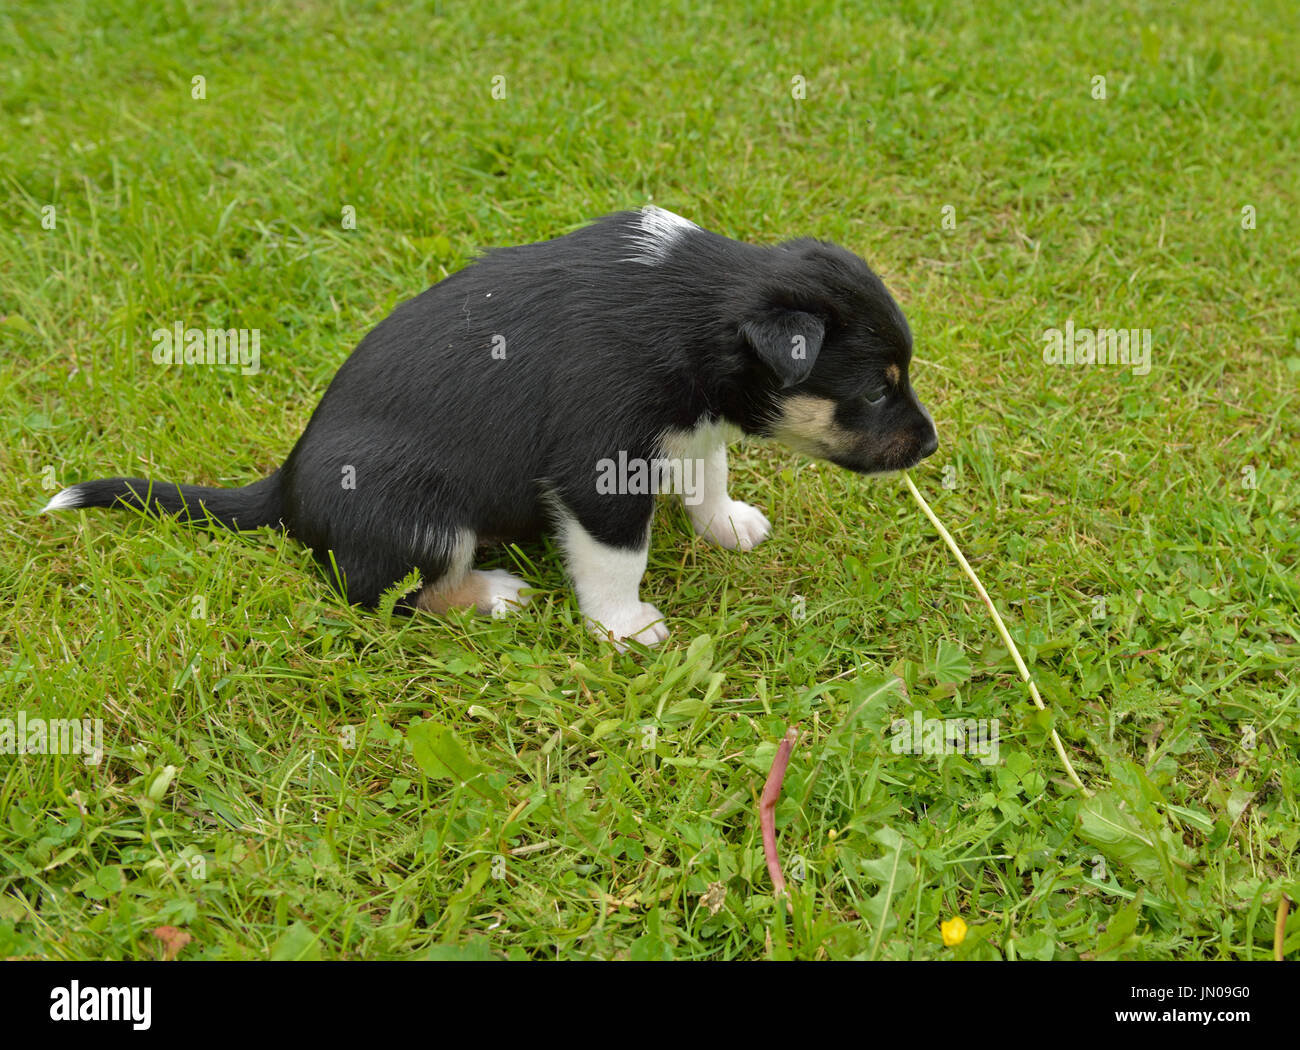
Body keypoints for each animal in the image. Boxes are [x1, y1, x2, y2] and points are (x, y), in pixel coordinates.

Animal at [40, 207, 935, 644]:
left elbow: (709, 466)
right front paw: (625, 629)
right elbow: (619, 556)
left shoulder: (691, 424)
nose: (931, 446)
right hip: (417, 510)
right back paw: (493, 595)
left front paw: (728, 524)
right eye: (876, 389)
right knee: (385, 594)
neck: (701, 310)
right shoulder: (597, 467)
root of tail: (284, 488)